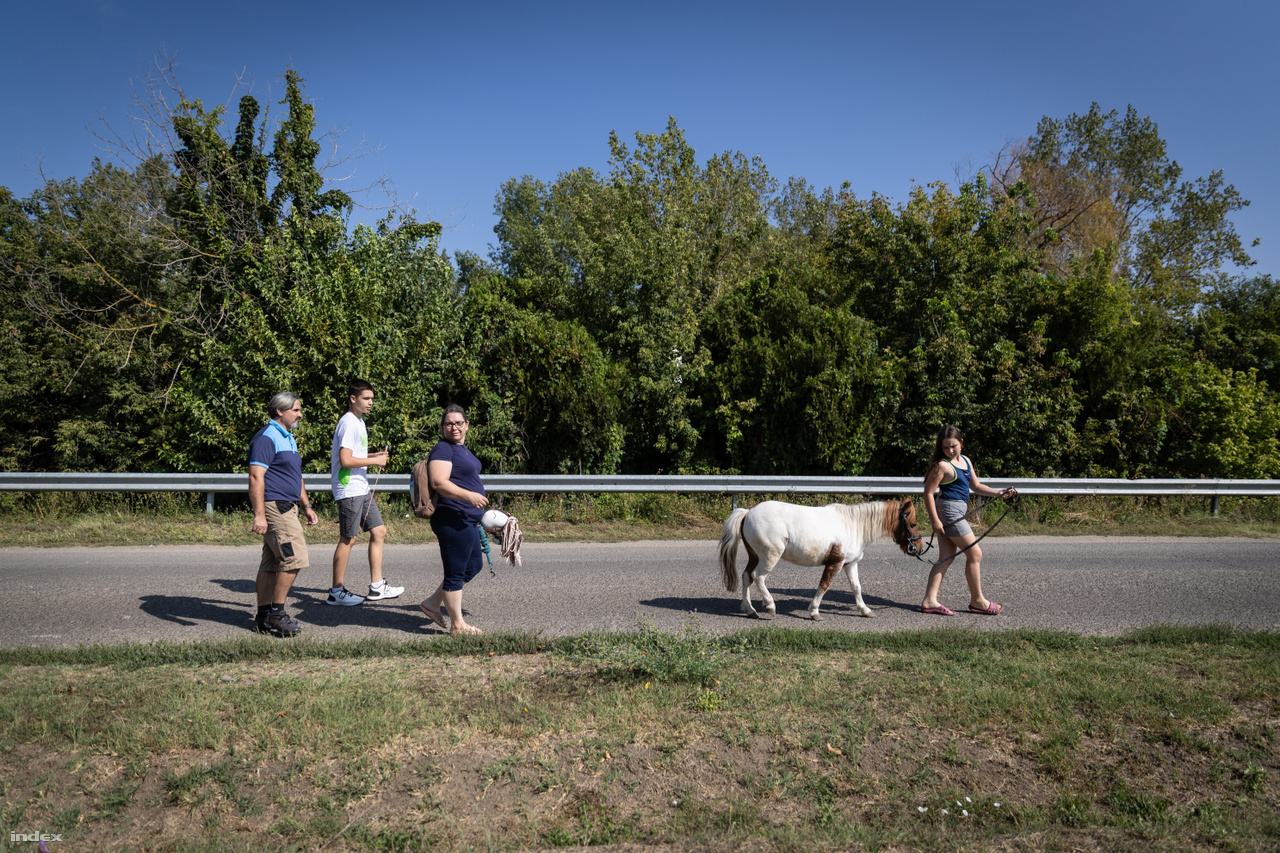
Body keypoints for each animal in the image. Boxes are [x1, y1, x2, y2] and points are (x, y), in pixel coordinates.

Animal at [721, 499, 921, 617]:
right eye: (913, 524)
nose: (918, 547)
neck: (852, 525)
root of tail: (748, 512)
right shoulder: (836, 562)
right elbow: (824, 585)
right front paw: (814, 611)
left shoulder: (850, 563)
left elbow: (856, 587)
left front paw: (865, 609)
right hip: (770, 556)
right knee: (758, 576)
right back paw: (769, 605)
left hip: (754, 555)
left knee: (746, 576)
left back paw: (749, 608)